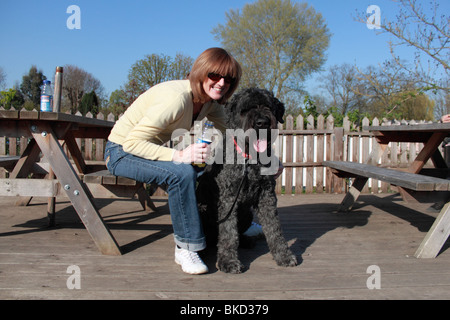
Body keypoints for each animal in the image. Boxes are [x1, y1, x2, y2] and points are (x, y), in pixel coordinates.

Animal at [198, 87, 298, 272]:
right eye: (245, 109)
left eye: (268, 106)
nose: (261, 123)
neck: (250, 160)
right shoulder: (228, 198)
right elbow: (228, 232)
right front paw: (229, 261)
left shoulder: (266, 195)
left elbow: (274, 228)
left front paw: (284, 255)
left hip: (247, 215)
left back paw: (246, 240)